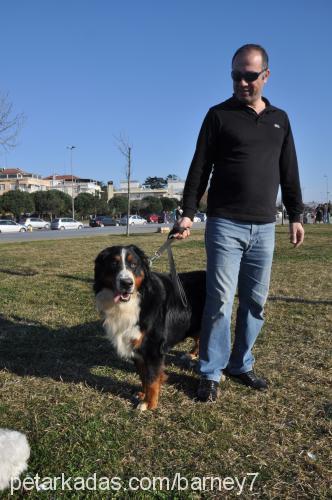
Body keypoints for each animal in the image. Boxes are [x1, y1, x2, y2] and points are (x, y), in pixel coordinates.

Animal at [93, 243, 206, 410]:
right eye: (113, 264)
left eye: (134, 265)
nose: (127, 283)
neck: (135, 301)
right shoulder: (136, 349)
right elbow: (143, 376)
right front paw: (143, 395)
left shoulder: (153, 349)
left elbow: (152, 379)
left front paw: (149, 404)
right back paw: (191, 354)